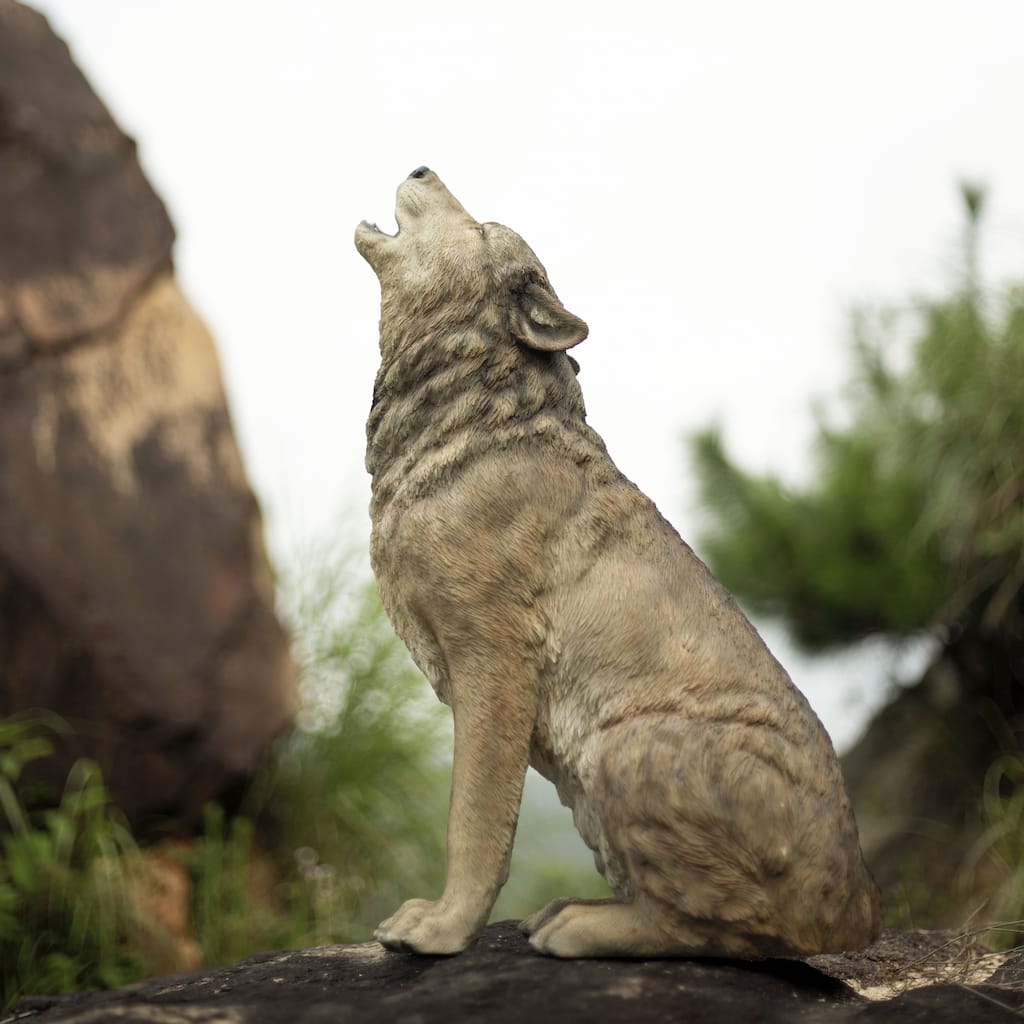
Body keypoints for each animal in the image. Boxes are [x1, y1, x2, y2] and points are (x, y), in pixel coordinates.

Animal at [355, 167, 882, 958]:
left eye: (480, 228)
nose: (421, 167)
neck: (476, 426)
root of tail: (863, 908)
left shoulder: (492, 657)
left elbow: (474, 820)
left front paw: (441, 930)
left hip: (625, 747)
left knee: (717, 929)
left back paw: (577, 926)